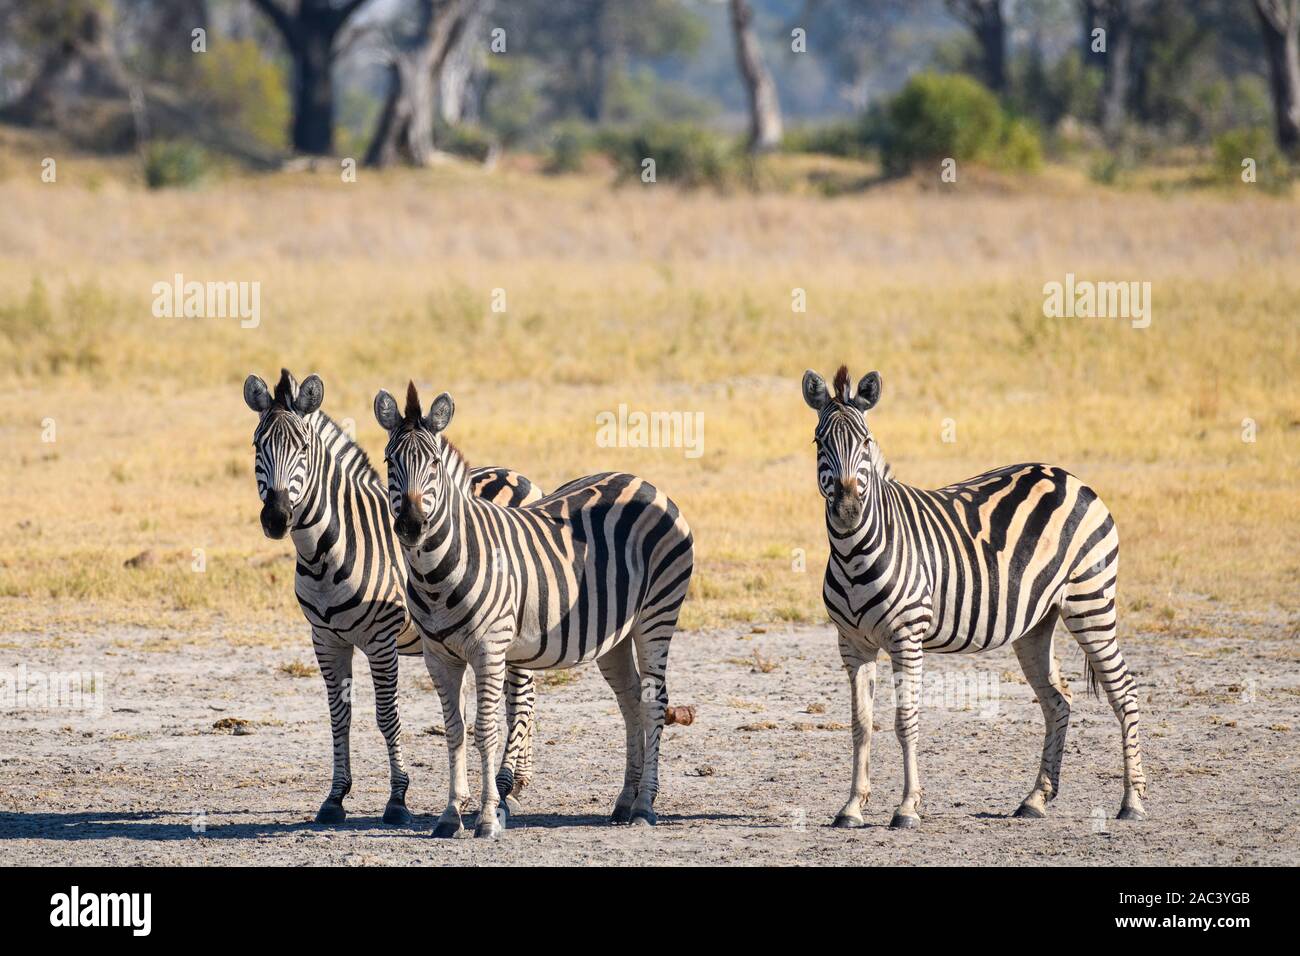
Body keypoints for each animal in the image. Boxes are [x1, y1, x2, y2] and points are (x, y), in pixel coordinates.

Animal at [242, 369, 544, 826]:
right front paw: (335, 797)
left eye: (303, 448)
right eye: (258, 445)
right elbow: (339, 717)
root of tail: (521, 476)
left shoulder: (381, 638)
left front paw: (397, 799)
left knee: (521, 698)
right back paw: (518, 781)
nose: (277, 518)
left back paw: (508, 787)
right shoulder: (325, 638)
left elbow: (387, 716)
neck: (325, 550)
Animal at [373, 382, 694, 838]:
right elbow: (454, 731)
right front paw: (450, 814)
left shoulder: (489, 651)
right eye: (389, 461)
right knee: (631, 701)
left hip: (657, 614)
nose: (412, 525)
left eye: (433, 463)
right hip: (615, 633)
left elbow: (485, 729)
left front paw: (488, 817)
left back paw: (645, 806)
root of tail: (643, 482)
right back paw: (625, 801)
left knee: (652, 702)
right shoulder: (439, 656)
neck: (437, 575)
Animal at [802, 365, 1147, 829]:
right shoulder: (852, 644)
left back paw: (1132, 801)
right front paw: (852, 806)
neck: (853, 552)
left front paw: (907, 807)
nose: (848, 509)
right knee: (1057, 700)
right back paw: (1036, 799)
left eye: (866, 441)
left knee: (1124, 690)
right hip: (1037, 622)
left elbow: (905, 720)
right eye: (819, 442)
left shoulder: (907, 638)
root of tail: (1070, 476)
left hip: (1090, 601)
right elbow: (861, 723)